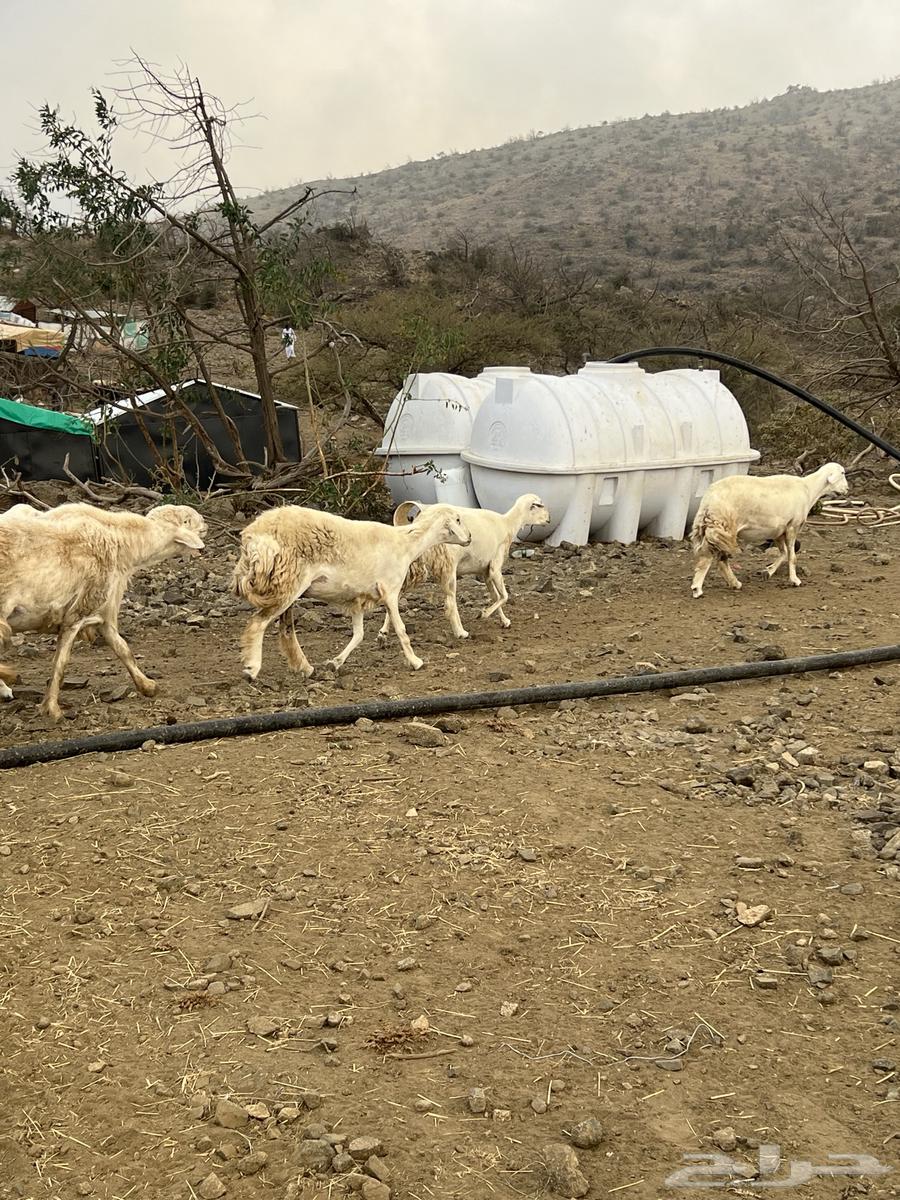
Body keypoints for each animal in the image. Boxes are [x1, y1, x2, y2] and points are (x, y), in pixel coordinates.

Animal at [0, 507, 205, 720]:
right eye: (187, 520)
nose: (205, 522)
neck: (122, 542)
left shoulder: (104, 612)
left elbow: (123, 649)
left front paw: (147, 686)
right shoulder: (78, 611)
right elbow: (61, 662)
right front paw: (53, 708)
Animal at [232, 503, 472, 680]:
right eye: (458, 519)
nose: (469, 537)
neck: (407, 542)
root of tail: (253, 537)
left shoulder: (357, 599)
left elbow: (359, 634)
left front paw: (335, 663)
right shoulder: (390, 590)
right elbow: (401, 630)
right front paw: (416, 662)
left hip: (287, 585)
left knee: (285, 629)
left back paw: (305, 668)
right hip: (289, 583)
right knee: (258, 623)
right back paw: (252, 669)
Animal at [377, 493, 550, 640]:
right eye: (540, 505)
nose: (549, 519)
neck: (508, 523)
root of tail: (421, 516)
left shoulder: (485, 571)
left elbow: (496, 596)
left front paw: (504, 621)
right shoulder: (495, 567)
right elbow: (505, 596)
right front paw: (483, 614)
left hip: (415, 567)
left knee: (395, 595)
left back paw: (383, 632)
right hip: (448, 567)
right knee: (450, 604)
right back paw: (460, 632)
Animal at [689, 462, 849, 598]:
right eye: (842, 473)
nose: (847, 489)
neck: (809, 489)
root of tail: (710, 498)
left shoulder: (778, 531)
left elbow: (783, 553)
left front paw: (768, 571)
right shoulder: (792, 526)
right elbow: (792, 556)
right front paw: (794, 580)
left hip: (711, 526)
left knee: (713, 556)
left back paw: (732, 583)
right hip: (724, 526)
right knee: (716, 558)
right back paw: (699, 588)